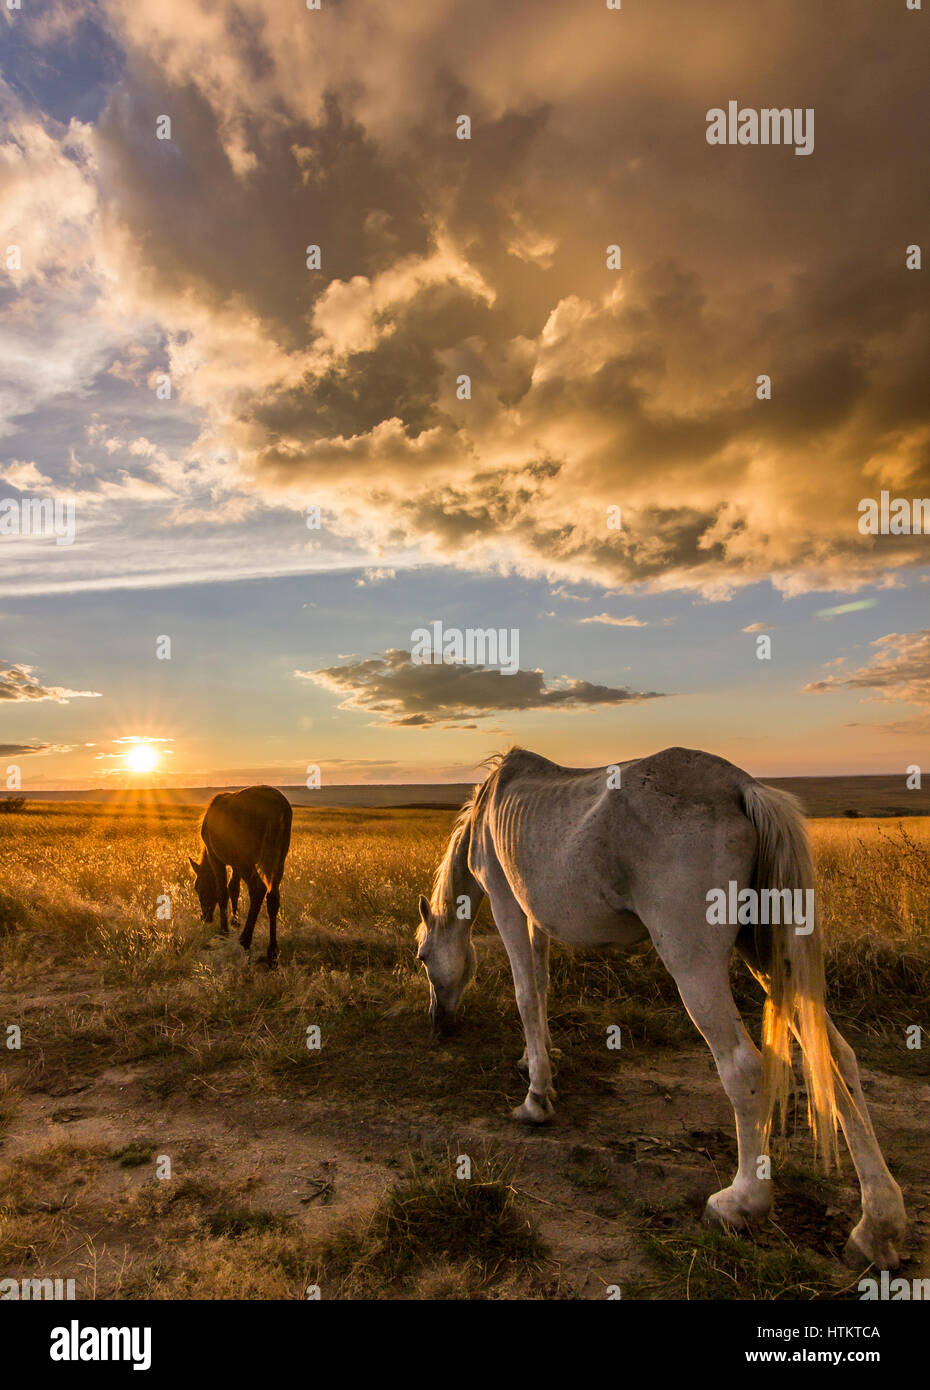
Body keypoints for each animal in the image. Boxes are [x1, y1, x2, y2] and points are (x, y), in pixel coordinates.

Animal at [189, 785, 292, 967]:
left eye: (197, 887)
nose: (205, 917)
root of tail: (278, 808)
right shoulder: (235, 862)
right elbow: (234, 888)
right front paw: (235, 920)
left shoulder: (216, 857)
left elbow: (222, 892)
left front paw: (224, 931)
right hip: (279, 857)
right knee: (273, 896)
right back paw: (272, 952)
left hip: (247, 859)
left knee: (258, 889)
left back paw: (245, 940)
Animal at [415, 746, 906, 1270]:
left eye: (422, 957)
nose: (439, 1024)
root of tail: (743, 788)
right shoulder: (535, 916)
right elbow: (542, 986)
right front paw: (537, 1060)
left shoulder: (508, 902)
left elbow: (526, 994)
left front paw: (536, 1100)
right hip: (769, 953)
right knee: (836, 1059)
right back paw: (877, 1227)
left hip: (693, 960)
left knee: (745, 1067)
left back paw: (740, 1203)